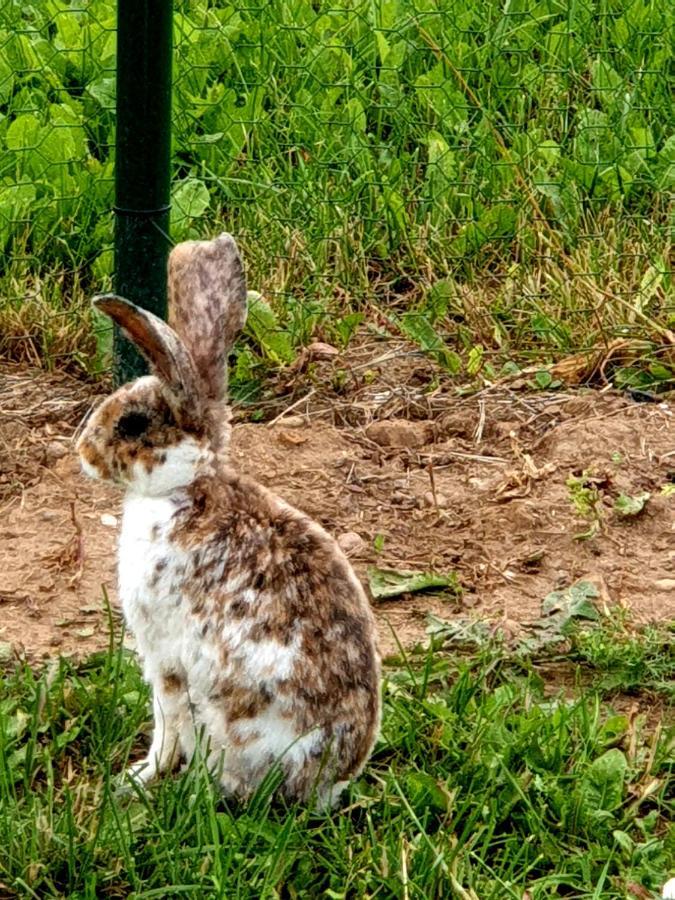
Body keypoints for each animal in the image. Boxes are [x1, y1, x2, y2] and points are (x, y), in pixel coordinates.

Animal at [76, 234, 382, 808]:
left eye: (133, 423)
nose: (81, 451)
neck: (185, 488)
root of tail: (323, 782)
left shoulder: (164, 658)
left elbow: (165, 722)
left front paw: (139, 778)